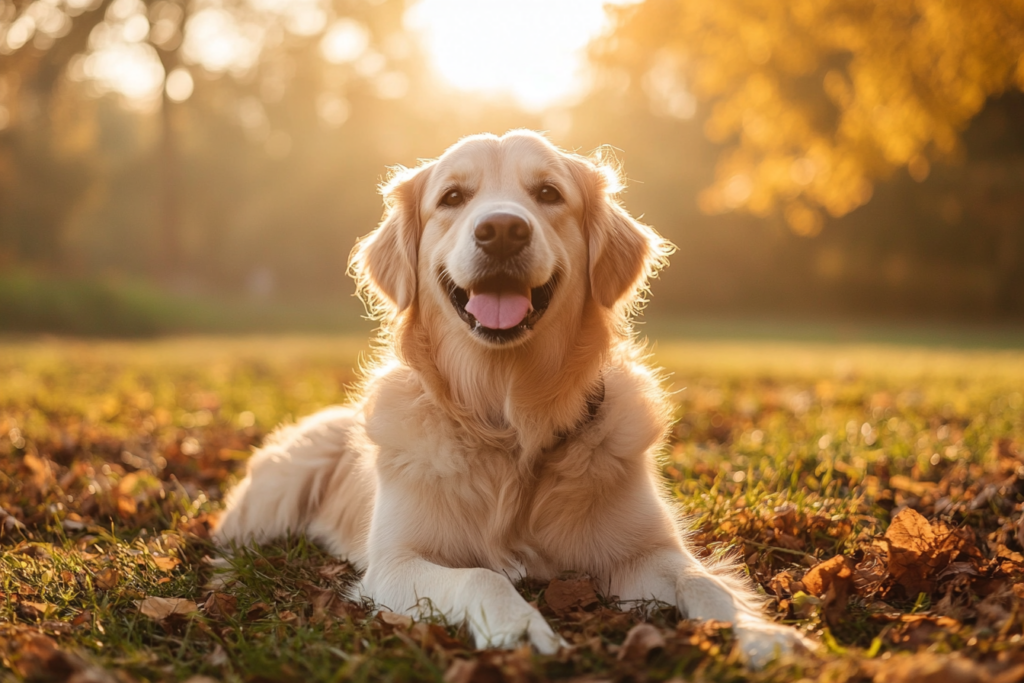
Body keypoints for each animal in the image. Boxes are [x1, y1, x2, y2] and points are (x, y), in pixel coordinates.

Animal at [211, 129, 811, 667]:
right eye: (453, 197)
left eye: (548, 193)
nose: (501, 229)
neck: (510, 420)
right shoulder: (396, 563)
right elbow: (481, 576)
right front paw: (519, 627)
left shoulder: (643, 553)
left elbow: (704, 582)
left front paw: (764, 637)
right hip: (271, 499)